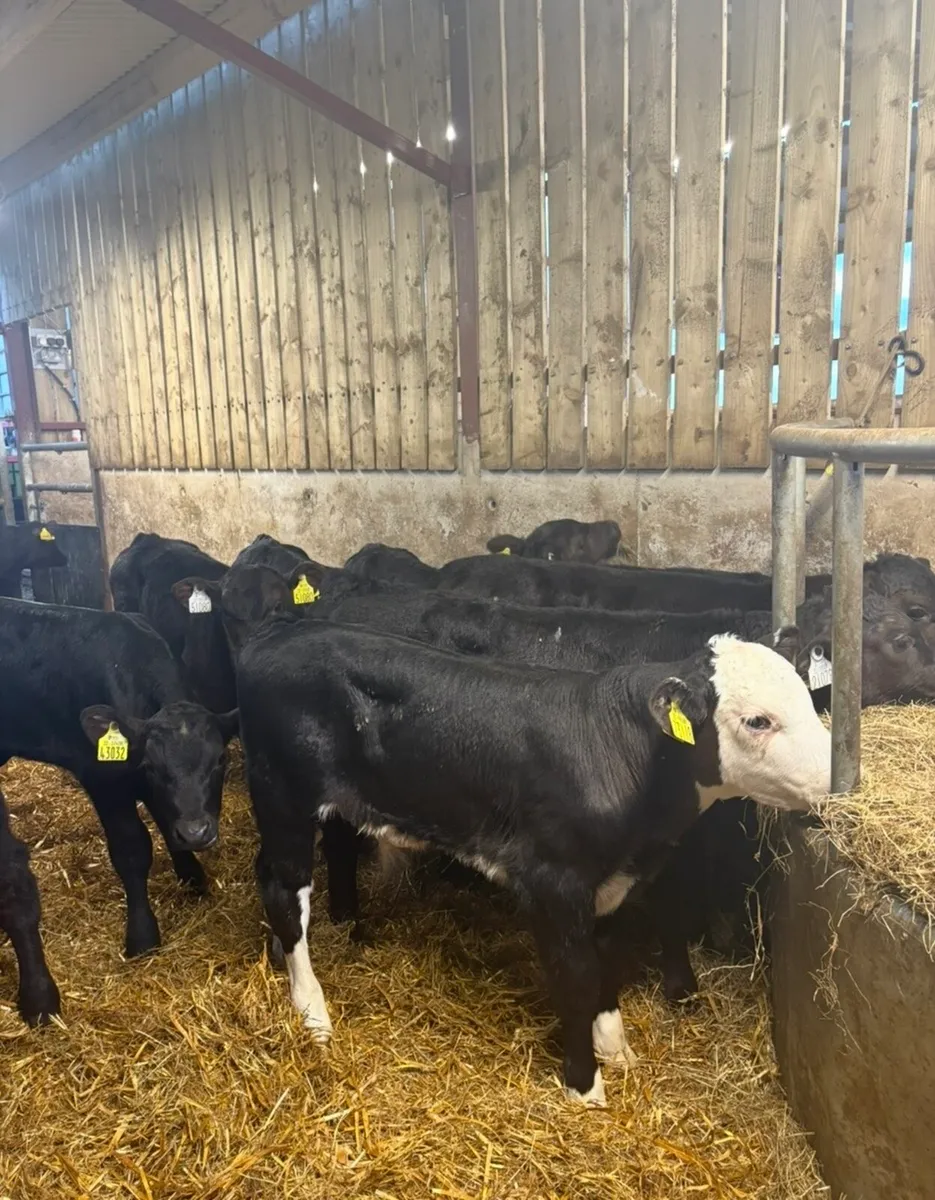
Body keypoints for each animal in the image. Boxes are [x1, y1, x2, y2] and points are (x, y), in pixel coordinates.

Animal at [0, 597, 238, 958]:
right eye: (150, 766)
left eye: (221, 759)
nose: (197, 833)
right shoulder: (104, 781)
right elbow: (132, 850)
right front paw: (142, 935)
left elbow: (167, 821)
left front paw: (192, 877)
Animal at [237, 621, 830, 1105]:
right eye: (757, 721)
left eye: (807, 699)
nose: (834, 778)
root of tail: (271, 641)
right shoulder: (553, 882)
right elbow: (576, 976)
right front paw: (585, 1085)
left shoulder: (610, 883)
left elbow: (606, 962)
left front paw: (615, 1047)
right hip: (283, 797)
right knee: (285, 891)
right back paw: (312, 1011)